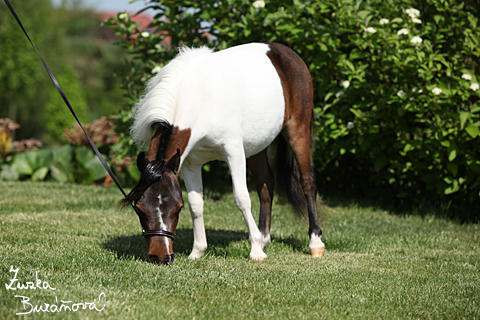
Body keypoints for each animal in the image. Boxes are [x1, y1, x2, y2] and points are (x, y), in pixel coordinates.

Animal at [119, 43, 326, 266]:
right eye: (139, 208)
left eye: (177, 208)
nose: (160, 257)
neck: (198, 98)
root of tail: (283, 51)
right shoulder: (190, 163)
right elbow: (196, 204)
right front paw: (197, 251)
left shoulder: (234, 152)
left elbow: (241, 198)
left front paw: (256, 251)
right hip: (256, 147)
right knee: (266, 183)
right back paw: (264, 237)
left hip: (297, 129)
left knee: (307, 180)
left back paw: (314, 243)